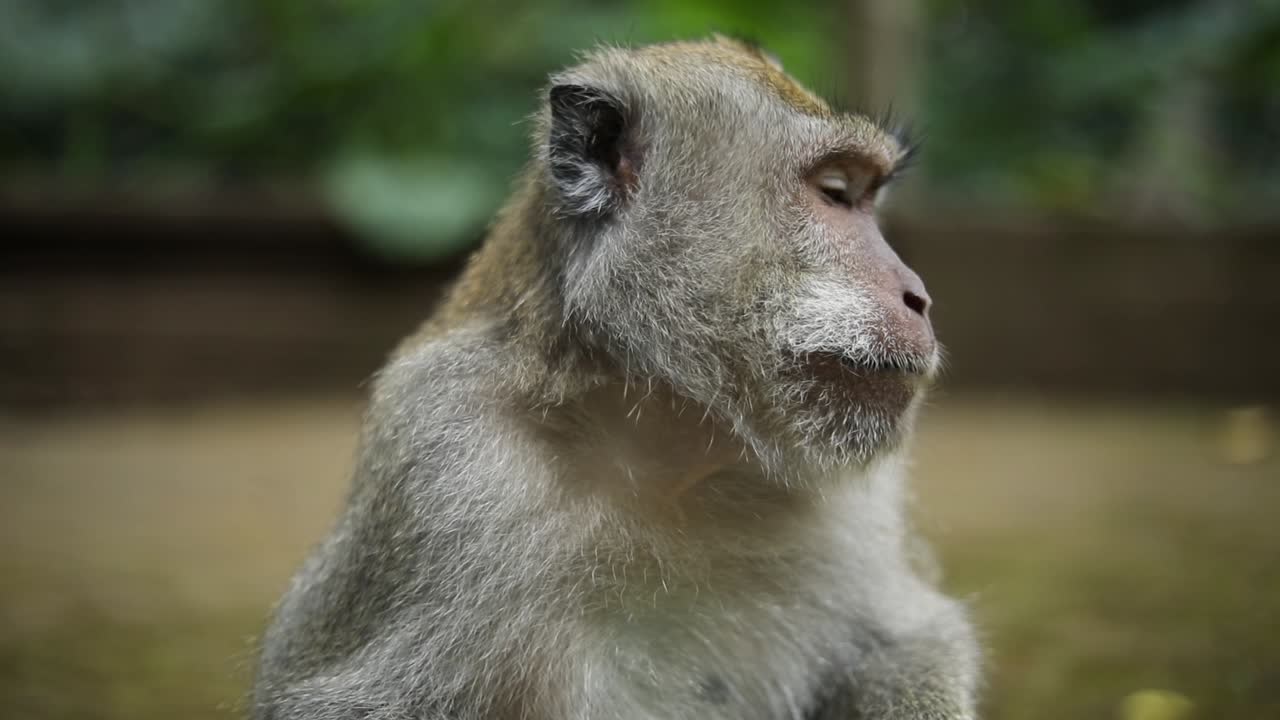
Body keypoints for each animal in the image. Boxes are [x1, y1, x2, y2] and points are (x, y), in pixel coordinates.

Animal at [252, 36, 979, 720]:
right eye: (835, 193)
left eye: (867, 196)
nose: (919, 297)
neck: (665, 446)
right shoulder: (441, 461)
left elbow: (907, 643)